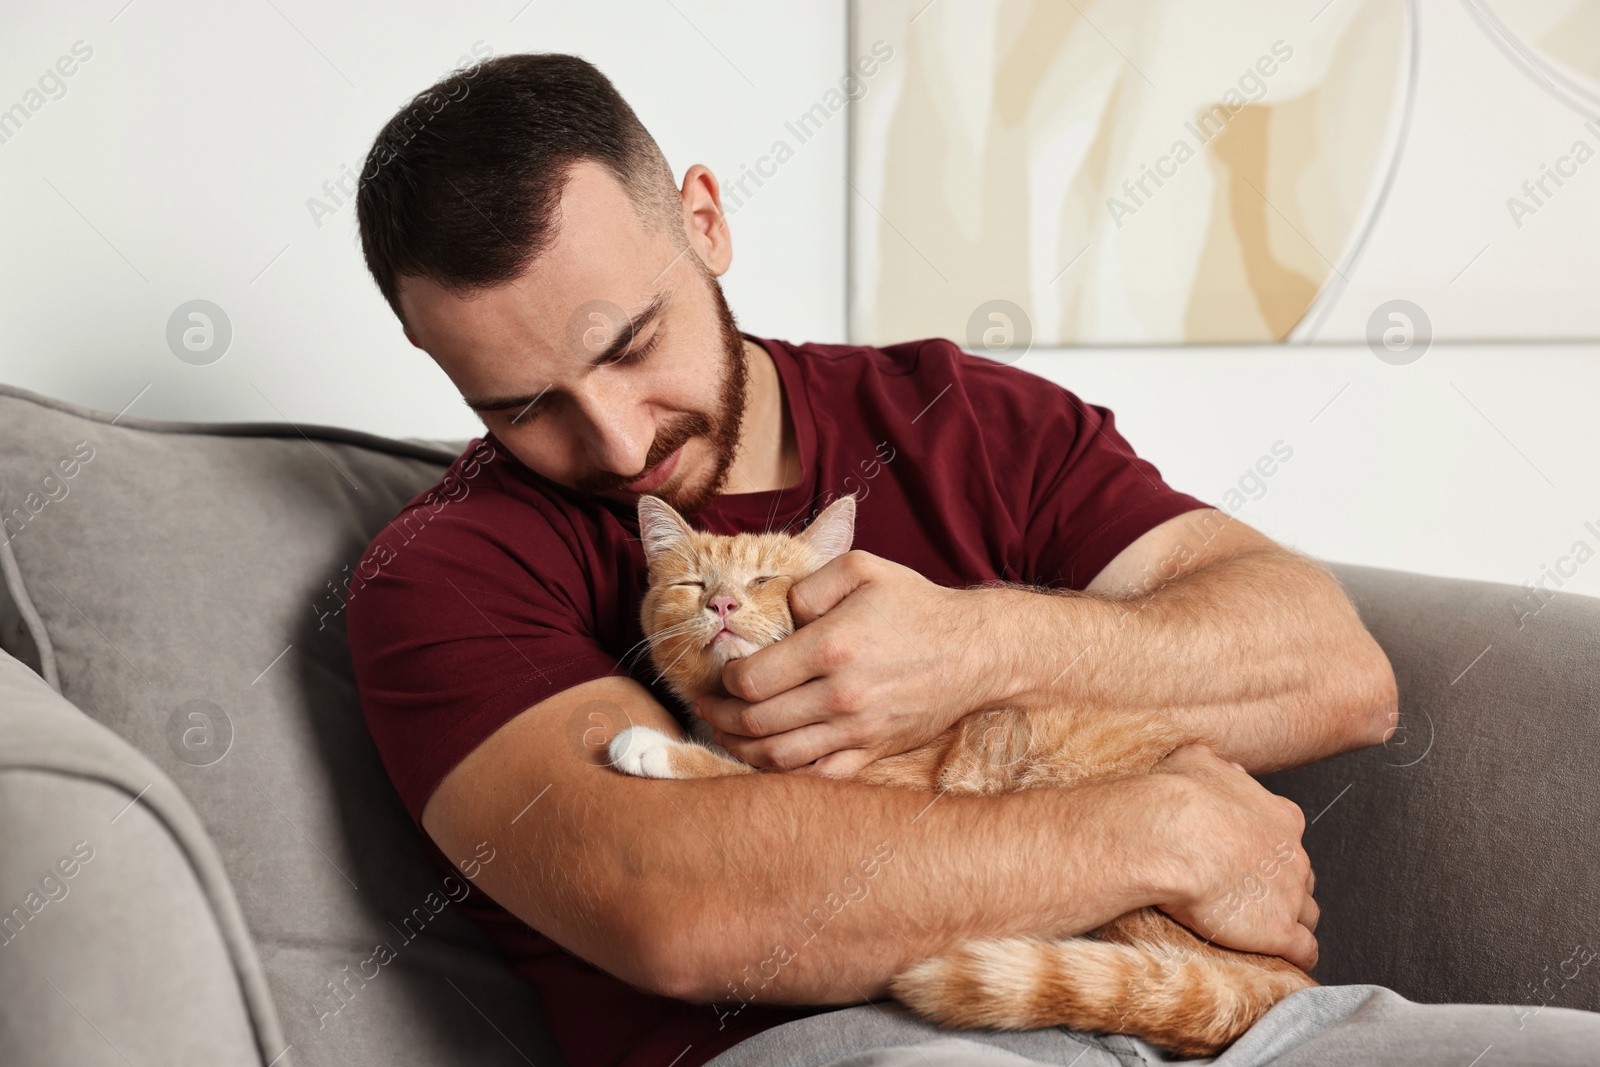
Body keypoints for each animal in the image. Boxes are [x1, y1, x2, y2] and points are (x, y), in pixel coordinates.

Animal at [608, 495, 1312, 1062]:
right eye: (693, 582)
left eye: (765, 578)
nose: (722, 603)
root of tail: (1293, 981)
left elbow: (733, 770)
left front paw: (652, 747)